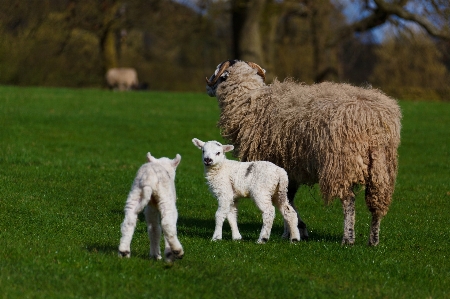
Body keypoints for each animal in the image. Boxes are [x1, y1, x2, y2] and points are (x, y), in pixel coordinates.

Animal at [206, 59, 402, 247]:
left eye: (219, 75)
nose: (207, 88)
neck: (249, 100)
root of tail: (373, 118)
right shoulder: (289, 169)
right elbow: (287, 198)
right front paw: (294, 231)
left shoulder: (281, 165)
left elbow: (286, 199)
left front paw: (294, 231)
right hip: (381, 167)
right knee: (377, 203)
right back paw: (373, 241)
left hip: (341, 164)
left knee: (349, 201)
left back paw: (348, 239)